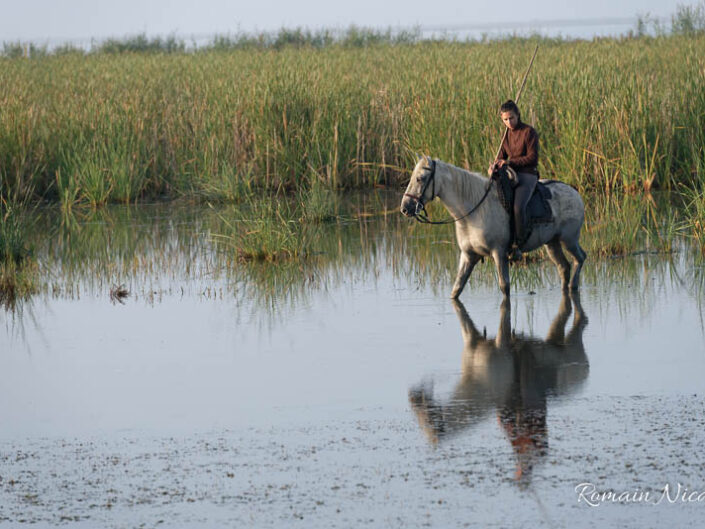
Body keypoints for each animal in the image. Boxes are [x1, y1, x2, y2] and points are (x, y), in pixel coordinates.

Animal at [398, 156, 584, 296]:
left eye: (420, 178)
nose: (405, 208)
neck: (473, 212)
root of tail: (575, 193)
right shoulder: (468, 255)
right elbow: (457, 288)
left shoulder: (499, 253)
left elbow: (504, 287)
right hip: (552, 243)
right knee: (564, 267)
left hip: (569, 240)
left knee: (580, 258)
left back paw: (573, 287)